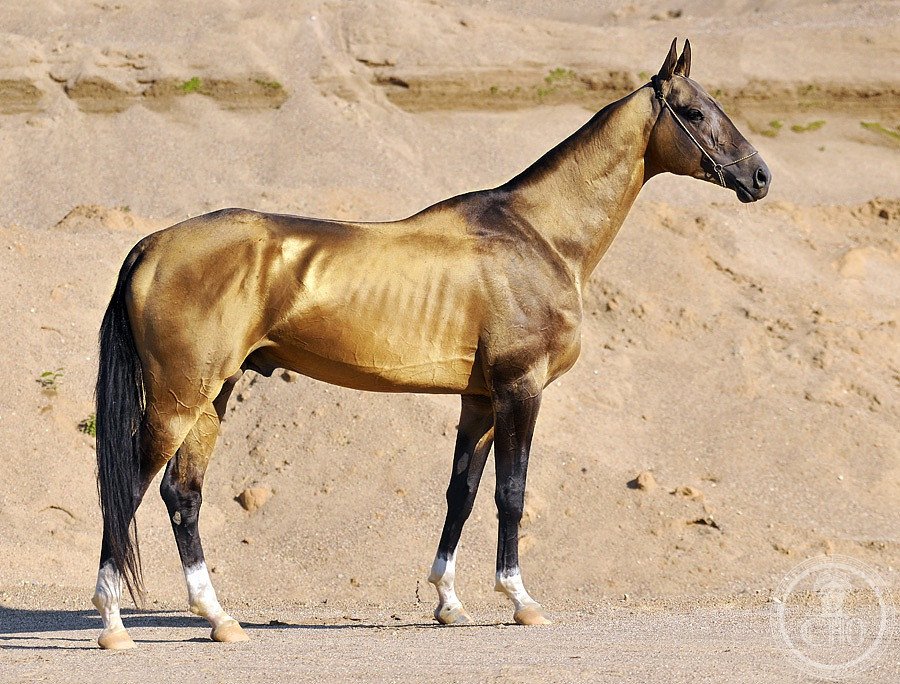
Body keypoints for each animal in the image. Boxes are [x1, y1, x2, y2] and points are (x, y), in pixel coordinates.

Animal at [91, 38, 771, 649]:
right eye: (697, 111)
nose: (760, 176)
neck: (540, 235)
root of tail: (152, 245)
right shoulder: (520, 389)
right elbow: (511, 494)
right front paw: (520, 600)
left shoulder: (480, 400)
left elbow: (461, 494)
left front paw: (448, 602)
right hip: (179, 399)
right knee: (130, 487)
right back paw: (114, 625)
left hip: (213, 396)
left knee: (182, 493)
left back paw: (219, 619)